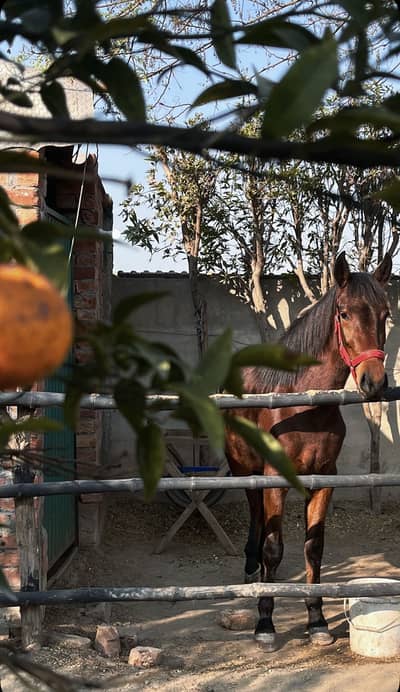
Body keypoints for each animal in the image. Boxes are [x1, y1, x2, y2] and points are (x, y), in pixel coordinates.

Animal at [225, 252, 392, 651]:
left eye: (385, 313)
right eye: (344, 313)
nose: (374, 382)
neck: (305, 405)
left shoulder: (325, 480)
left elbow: (313, 548)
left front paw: (317, 622)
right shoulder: (275, 480)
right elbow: (274, 548)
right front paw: (265, 624)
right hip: (243, 470)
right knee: (256, 518)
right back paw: (252, 571)